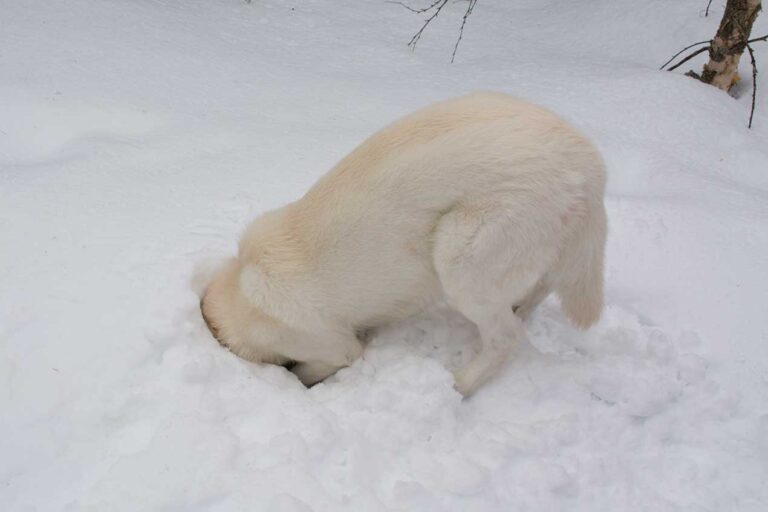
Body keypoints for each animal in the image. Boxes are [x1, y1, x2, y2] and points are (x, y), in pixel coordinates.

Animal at [202, 92, 608, 396]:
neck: (240, 283)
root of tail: (588, 164)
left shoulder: (332, 347)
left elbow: (315, 369)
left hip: (459, 252)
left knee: (505, 339)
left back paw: (458, 385)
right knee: (538, 290)